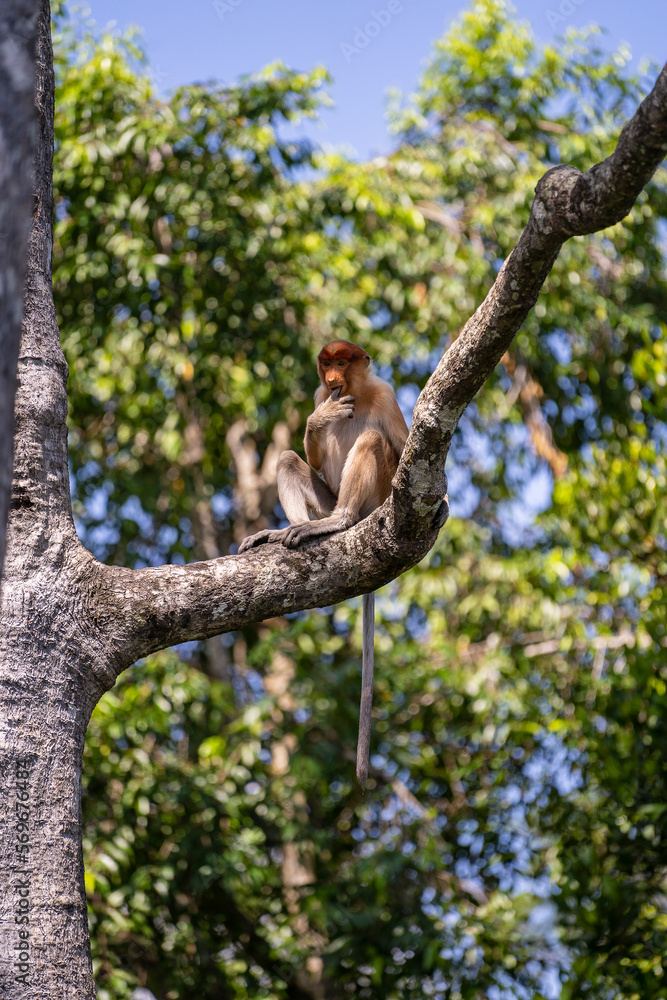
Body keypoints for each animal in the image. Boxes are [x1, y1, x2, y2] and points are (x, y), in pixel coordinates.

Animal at [239, 340, 409, 789]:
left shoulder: (385, 395)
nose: (333, 378)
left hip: (375, 496)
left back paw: (340, 521)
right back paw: (289, 533)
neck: (357, 391)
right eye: (327, 364)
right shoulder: (320, 394)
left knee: (371, 439)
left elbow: (403, 445)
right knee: (287, 459)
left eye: (343, 362)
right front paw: (322, 418)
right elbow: (311, 452)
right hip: (325, 498)